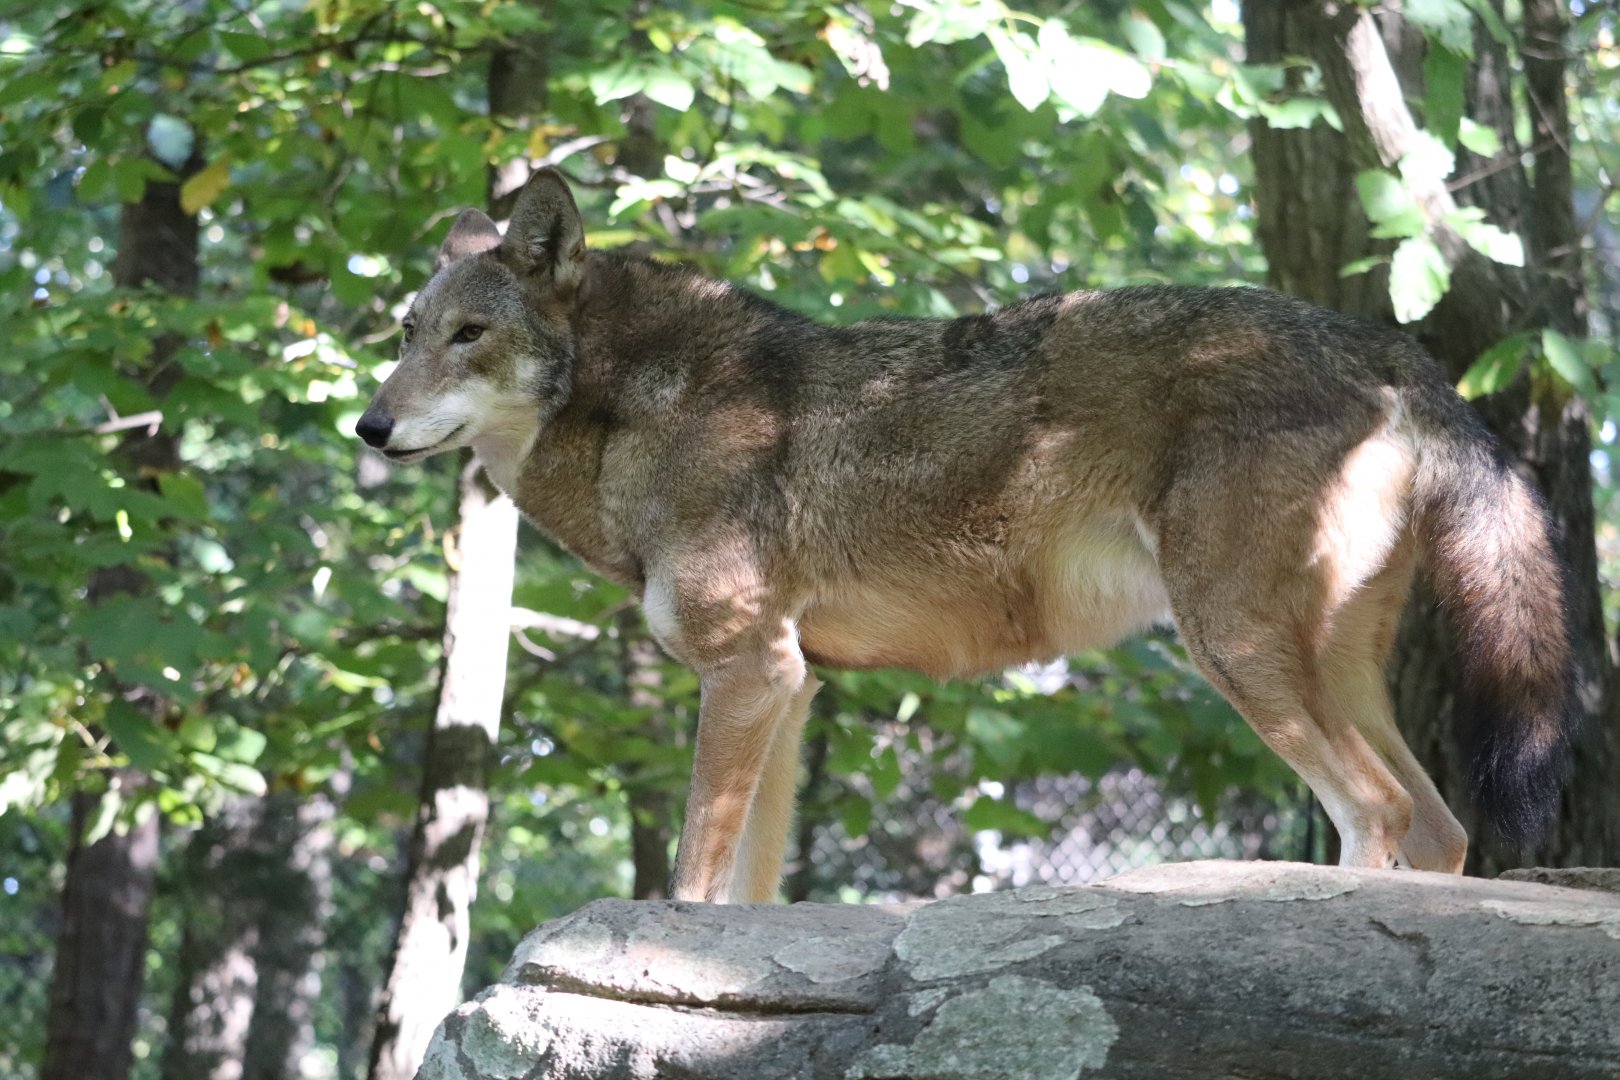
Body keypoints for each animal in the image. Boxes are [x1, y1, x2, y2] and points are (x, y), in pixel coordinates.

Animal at [356, 168, 1575, 903]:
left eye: (470, 335)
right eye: (407, 332)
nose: (368, 427)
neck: (638, 412)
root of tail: (1384, 345)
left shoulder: (746, 671)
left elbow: (696, 875)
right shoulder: (789, 686)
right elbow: (747, 895)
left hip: (1236, 654)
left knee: (1377, 812)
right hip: (1331, 670)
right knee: (1439, 830)